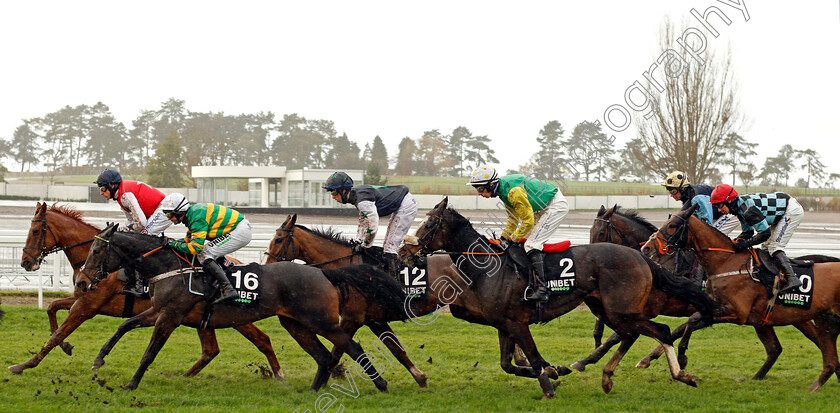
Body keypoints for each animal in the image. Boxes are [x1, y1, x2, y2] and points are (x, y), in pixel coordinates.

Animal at [9, 201, 284, 378]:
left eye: (35, 231)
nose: (25, 262)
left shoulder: (87, 305)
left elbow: (55, 335)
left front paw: (24, 365)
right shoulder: (83, 296)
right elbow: (52, 308)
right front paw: (66, 347)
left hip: (234, 316)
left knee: (261, 339)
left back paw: (277, 373)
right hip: (204, 318)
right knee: (211, 350)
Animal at [79, 224, 398, 392]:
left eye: (97, 250)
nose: (82, 281)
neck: (169, 267)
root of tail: (324, 273)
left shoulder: (170, 316)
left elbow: (149, 353)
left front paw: (131, 385)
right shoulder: (159, 311)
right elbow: (124, 325)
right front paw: (98, 359)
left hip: (323, 321)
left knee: (352, 347)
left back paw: (381, 384)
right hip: (295, 324)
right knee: (322, 356)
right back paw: (312, 390)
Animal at [398, 198, 720, 398]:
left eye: (429, 224)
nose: (403, 251)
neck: (490, 268)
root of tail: (640, 255)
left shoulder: (517, 323)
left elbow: (533, 358)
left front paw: (549, 384)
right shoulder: (503, 325)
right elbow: (508, 364)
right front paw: (554, 372)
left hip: (622, 310)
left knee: (659, 331)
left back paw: (680, 374)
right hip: (607, 308)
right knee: (631, 334)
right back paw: (606, 376)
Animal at [640, 208, 840, 392]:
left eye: (672, 225)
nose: (647, 248)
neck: (726, 262)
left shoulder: (737, 313)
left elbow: (689, 322)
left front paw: (678, 359)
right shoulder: (715, 308)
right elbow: (690, 322)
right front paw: (677, 358)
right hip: (774, 320)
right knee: (776, 348)